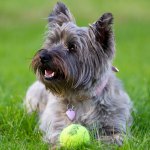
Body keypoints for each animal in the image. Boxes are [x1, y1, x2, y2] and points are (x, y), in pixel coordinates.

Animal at [24, 2, 132, 148]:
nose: (43, 56)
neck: (81, 97)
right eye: (53, 41)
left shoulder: (115, 126)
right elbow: (57, 137)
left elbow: (114, 137)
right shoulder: (57, 124)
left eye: (72, 47)